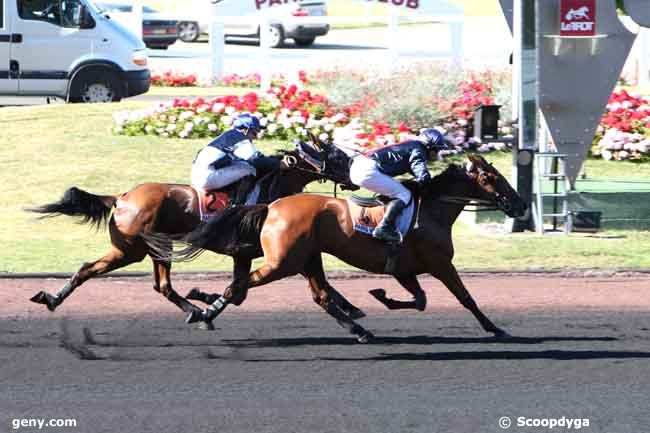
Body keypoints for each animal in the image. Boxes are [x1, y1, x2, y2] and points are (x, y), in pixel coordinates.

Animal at [26, 142, 354, 324]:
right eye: (337, 156)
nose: (354, 177)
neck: (270, 189)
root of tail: (122, 197)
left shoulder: (257, 252)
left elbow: (239, 291)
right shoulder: (259, 251)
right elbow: (238, 292)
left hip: (138, 249)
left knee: (101, 271)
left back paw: (51, 298)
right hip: (136, 250)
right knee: (153, 283)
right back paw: (194, 310)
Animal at [148, 155, 528, 340]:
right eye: (492, 178)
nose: (521, 204)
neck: (432, 209)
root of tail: (272, 206)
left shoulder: (404, 269)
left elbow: (419, 300)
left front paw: (381, 296)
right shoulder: (439, 264)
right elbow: (466, 298)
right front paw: (495, 328)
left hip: (308, 258)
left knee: (320, 296)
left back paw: (359, 330)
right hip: (283, 262)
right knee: (239, 287)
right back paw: (204, 311)